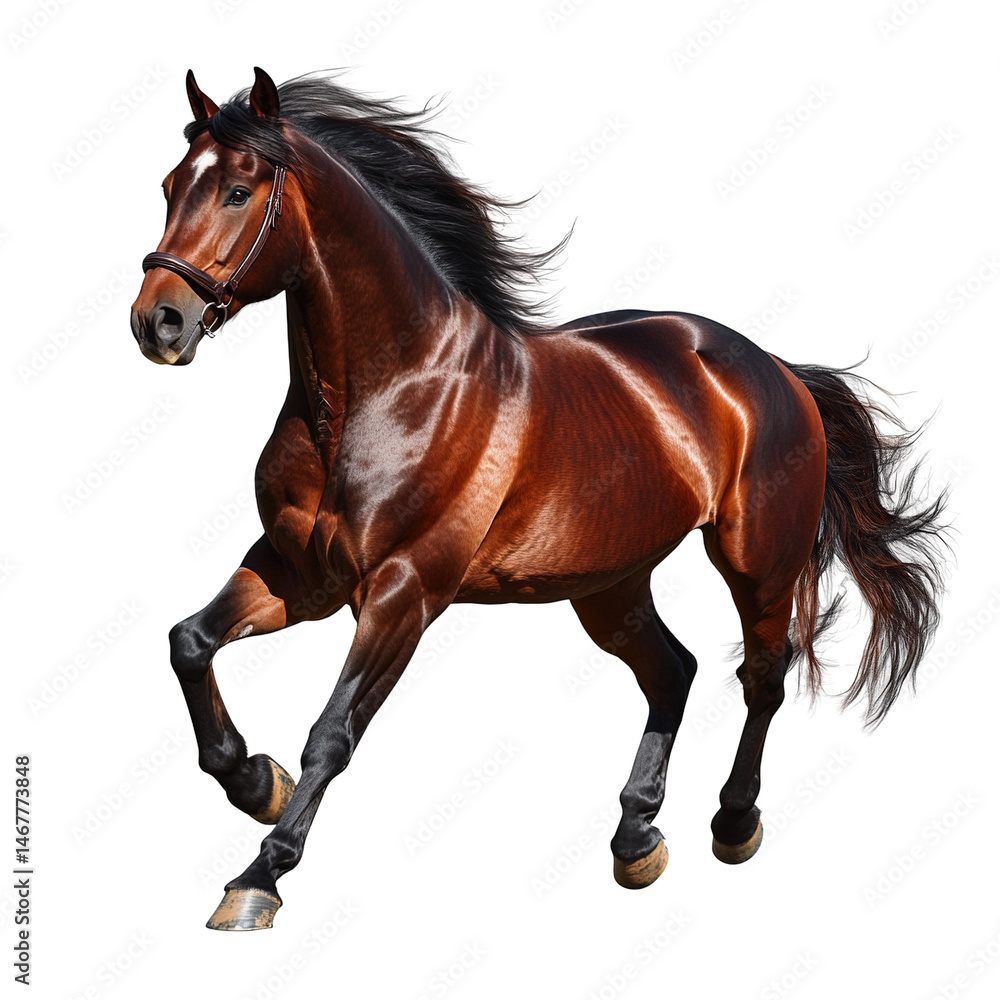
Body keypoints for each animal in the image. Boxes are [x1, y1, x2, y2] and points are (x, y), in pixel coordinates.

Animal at [130, 68, 948, 931]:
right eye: (171, 185)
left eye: (239, 191)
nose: (158, 322)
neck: (387, 391)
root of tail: (776, 370)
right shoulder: (297, 573)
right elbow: (190, 642)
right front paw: (255, 781)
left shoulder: (402, 592)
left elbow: (332, 732)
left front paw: (258, 876)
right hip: (609, 584)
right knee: (673, 671)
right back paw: (636, 838)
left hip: (756, 562)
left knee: (761, 676)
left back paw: (733, 824)